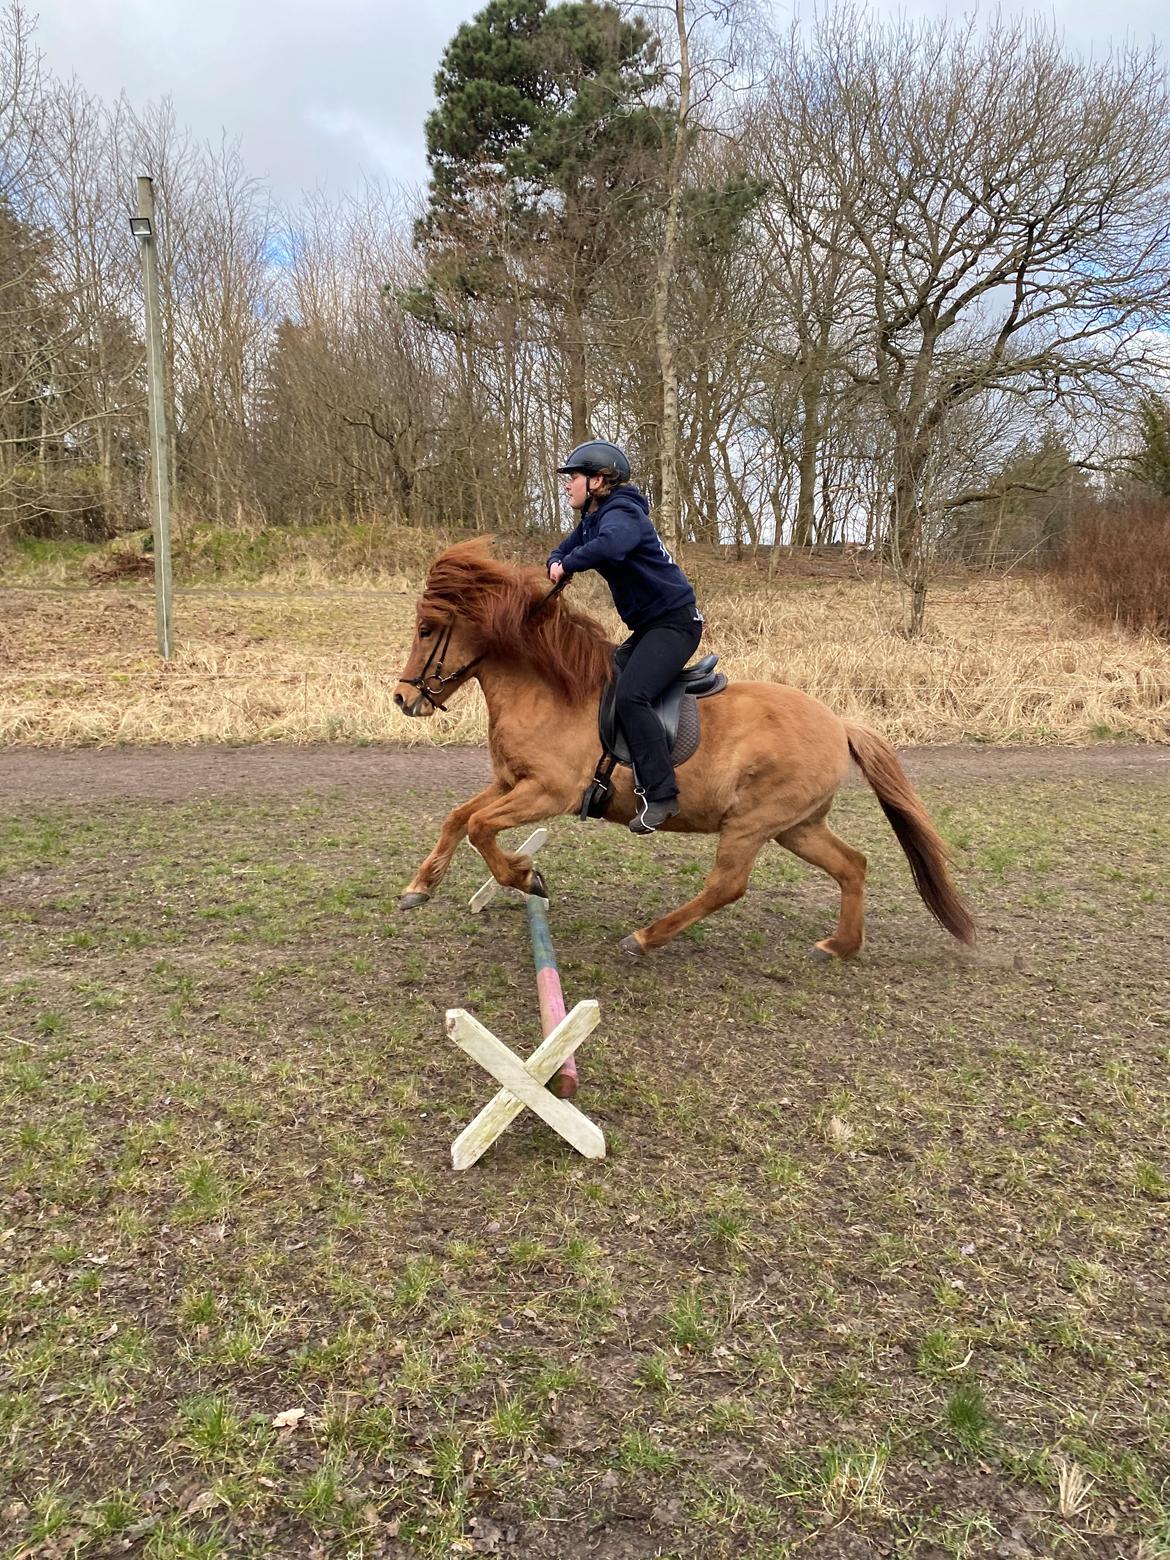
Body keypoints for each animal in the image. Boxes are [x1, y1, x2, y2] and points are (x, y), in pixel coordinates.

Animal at [399, 542, 973, 960]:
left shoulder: (548, 792)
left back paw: (645, 938)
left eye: (427, 630)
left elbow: (480, 827)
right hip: (797, 826)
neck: (551, 691)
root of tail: (839, 723)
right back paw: (840, 946)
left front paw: (524, 876)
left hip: (751, 824)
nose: (404, 699)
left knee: (727, 887)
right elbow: (458, 818)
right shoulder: (510, 782)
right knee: (853, 865)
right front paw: (420, 887)